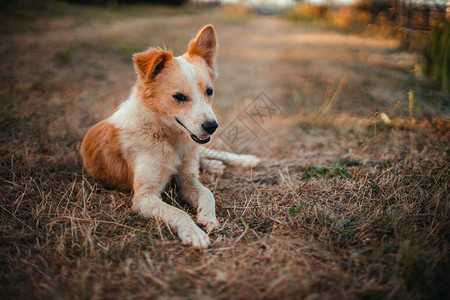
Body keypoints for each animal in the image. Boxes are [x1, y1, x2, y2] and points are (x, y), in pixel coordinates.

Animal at [79, 25, 258, 248]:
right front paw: (194, 233)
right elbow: (178, 212)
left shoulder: (187, 179)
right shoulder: (144, 197)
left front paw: (208, 217)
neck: (167, 137)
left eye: (209, 91)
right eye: (179, 97)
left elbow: (207, 193)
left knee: (209, 153)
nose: (212, 127)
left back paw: (243, 160)